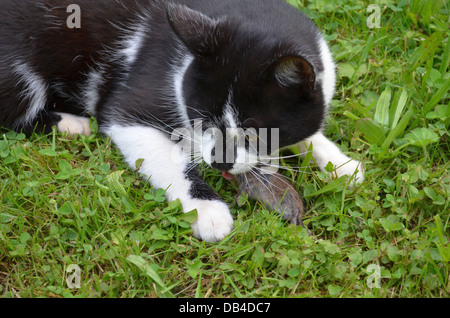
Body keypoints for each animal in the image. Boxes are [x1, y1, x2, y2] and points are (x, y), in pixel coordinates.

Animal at [0, 0, 364, 242]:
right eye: (203, 119)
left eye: (255, 134)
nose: (220, 163)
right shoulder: (127, 109)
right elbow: (169, 159)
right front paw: (207, 211)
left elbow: (309, 127)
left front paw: (339, 164)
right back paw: (71, 124)